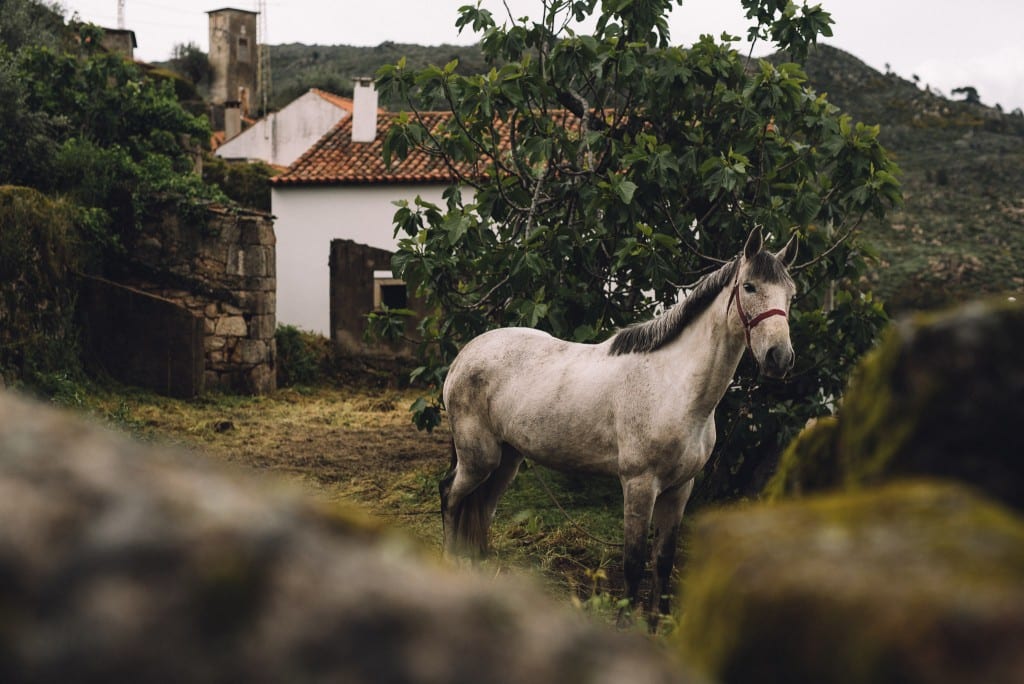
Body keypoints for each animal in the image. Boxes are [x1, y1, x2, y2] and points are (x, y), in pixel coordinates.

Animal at [440, 229, 798, 626]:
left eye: (791, 294)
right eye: (749, 287)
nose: (779, 358)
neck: (674, 384)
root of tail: (465, 356)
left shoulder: (680, 489)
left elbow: (663, 560)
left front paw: (659, 623)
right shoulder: (639, 485)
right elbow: (633, 562)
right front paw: (626, 623)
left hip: (506, 461)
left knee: (481, 510)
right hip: (479, 459)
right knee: (450, 497)